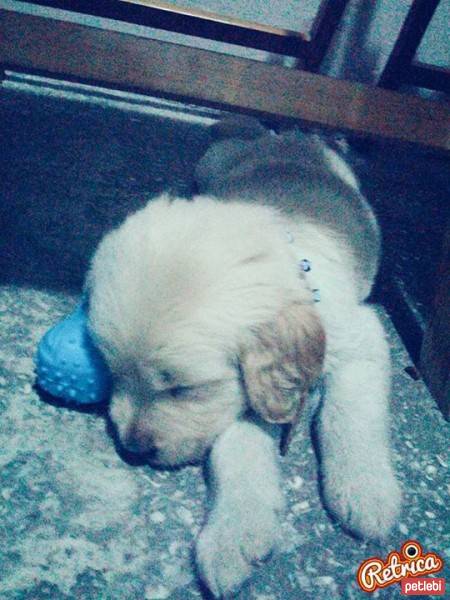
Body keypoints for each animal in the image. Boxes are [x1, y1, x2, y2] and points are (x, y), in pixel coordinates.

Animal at [86, 119, 402, 596]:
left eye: (184, 388)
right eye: (110, 372)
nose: (133, 449)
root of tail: (286, 136)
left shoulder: (362, 339)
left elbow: (349, 417)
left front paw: (364, 489)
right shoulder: (247, 397)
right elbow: (236, 453)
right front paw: (235, 534)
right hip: (215, 160)